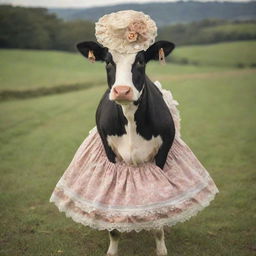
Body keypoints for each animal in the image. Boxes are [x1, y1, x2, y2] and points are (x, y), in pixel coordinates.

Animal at [76, 40, 176, 256]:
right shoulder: (109, 155)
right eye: (107, 61)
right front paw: (113, 247)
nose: (122, 90)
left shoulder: (162, 156)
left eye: (140, 61)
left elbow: (158, 213)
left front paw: (161, 247)